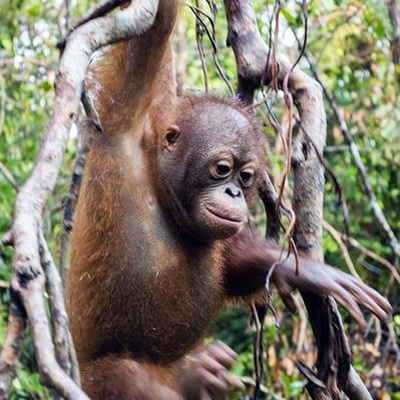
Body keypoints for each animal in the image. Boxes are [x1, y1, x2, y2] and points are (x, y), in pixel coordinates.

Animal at [66, 2, 392, 399]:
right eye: (222, 169)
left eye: (246, 176)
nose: (234, 192)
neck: (161, 191)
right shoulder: (127, 121)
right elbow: (154, 36)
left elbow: (231, 269)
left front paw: (302, 270)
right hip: (88, 377)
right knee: (122, 375)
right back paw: (194, 377)